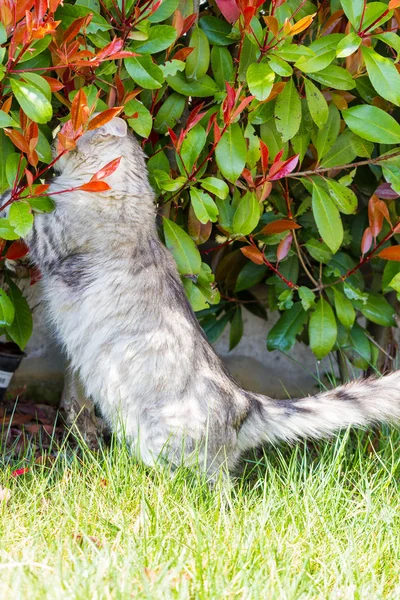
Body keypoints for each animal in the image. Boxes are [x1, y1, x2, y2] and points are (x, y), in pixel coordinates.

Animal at [16, 117, 400, 478]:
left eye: (72, 128)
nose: (55, 133)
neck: (127, 189)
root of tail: (245, 403)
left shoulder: (51, 237)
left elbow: (22, 213)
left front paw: (15, 189)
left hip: (163, 442)